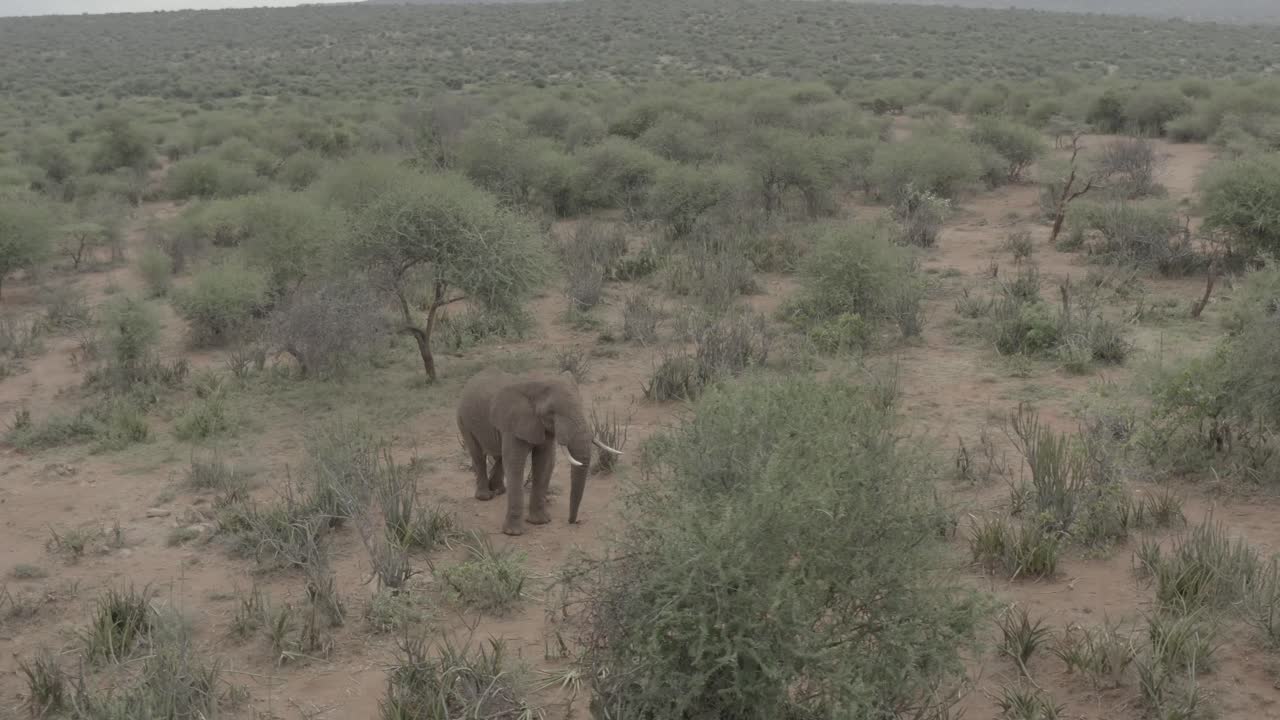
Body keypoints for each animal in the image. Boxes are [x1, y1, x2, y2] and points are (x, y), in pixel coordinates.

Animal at [456, 368, 622, 536]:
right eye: (551, 412)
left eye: (581, 404)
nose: (573, 521)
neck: (535, 384)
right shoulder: (513, 423)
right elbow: (515, 463)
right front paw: (513, 533)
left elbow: (544, 461)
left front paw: (540, 522)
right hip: (463, 419)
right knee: (478, 454)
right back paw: (485, 497)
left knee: (499, 457)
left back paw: (499, 490)